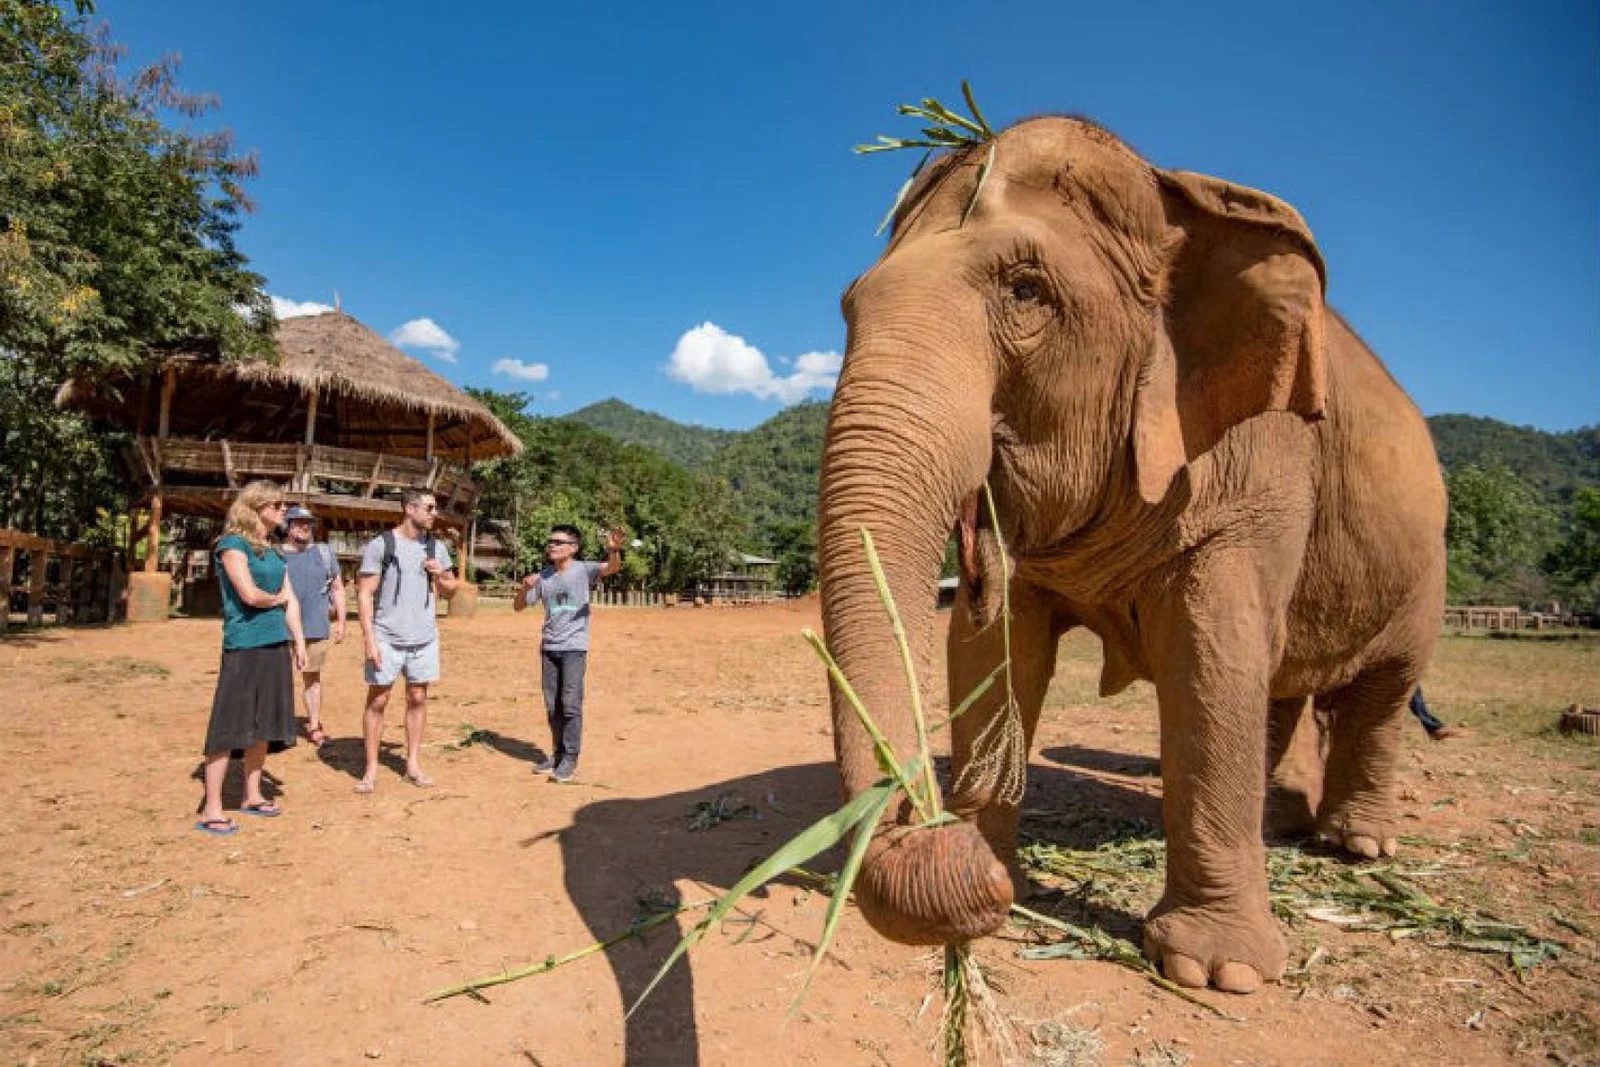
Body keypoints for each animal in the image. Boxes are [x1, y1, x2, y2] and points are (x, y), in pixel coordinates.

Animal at [817, 116, 1445, 995]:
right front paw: (999, 873)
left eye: (1027, 290)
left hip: (1426, 571)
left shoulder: (1262, 459)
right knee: (1282, 683)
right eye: (849, 305)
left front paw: (1218, 972)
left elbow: (1213, 651)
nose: (932, 827)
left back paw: (1357, 844)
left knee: (1379, 692)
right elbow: (991, 649)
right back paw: (1281, 821)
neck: (1171, 193)